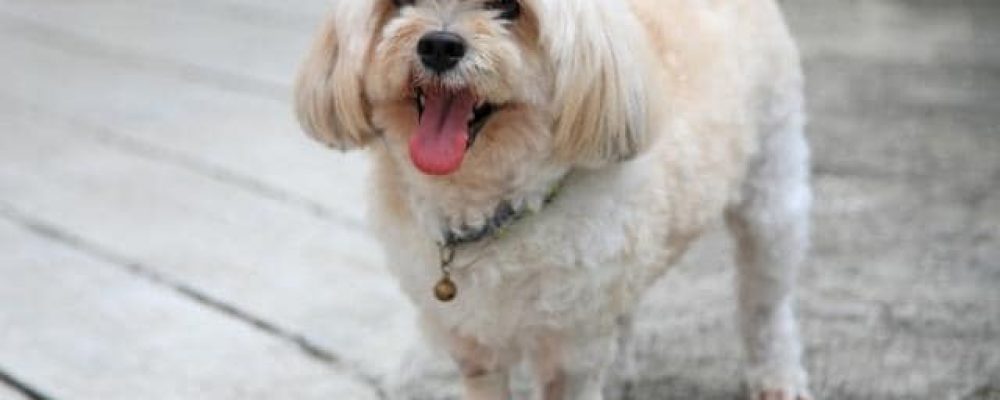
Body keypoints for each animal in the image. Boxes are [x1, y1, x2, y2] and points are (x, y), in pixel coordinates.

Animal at [294, 0, 811, 399]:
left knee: (766, 306)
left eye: (508, 8)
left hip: (772, 192)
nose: (438, 45)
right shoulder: (474, 348)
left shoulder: (570, 353)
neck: (495, 211)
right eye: (403, 2)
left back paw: (777, 377)